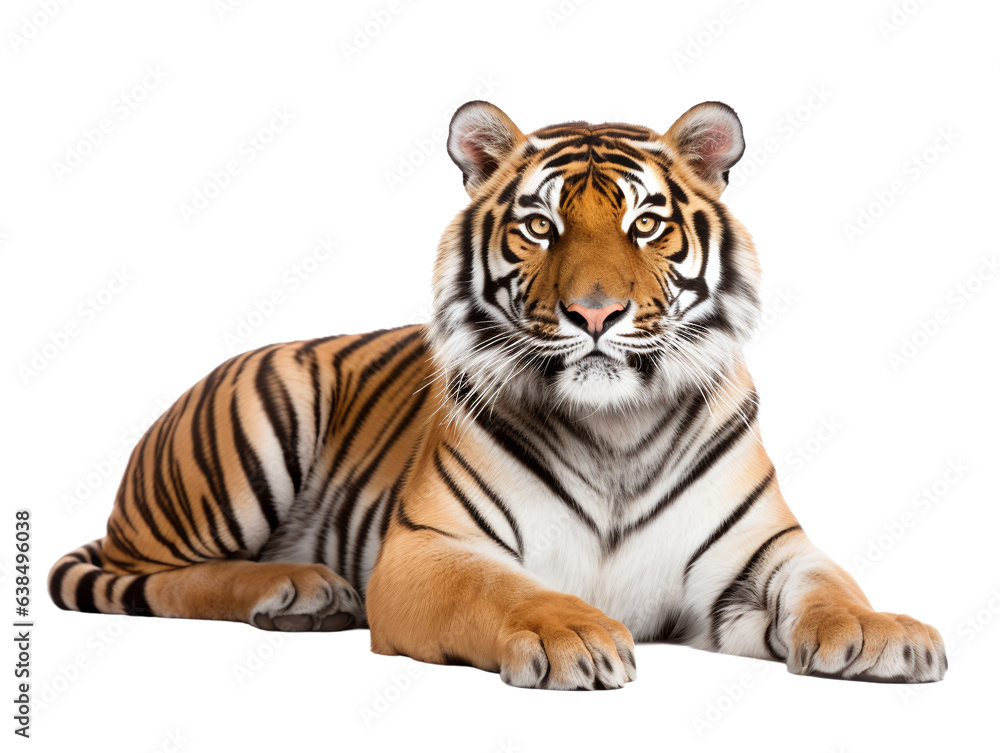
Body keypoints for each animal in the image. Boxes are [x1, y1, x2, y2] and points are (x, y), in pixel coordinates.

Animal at [49, 100, 947, 689]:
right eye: (540, 226)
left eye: (646, 225)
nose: (595, 312)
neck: (616, 429)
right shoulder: (429, 547)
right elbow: (500, 588)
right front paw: (571, 630)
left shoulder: (763, 553)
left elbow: (830, 583)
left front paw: (883, 633)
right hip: (258, 430)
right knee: (159, 574)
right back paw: (303, 588)